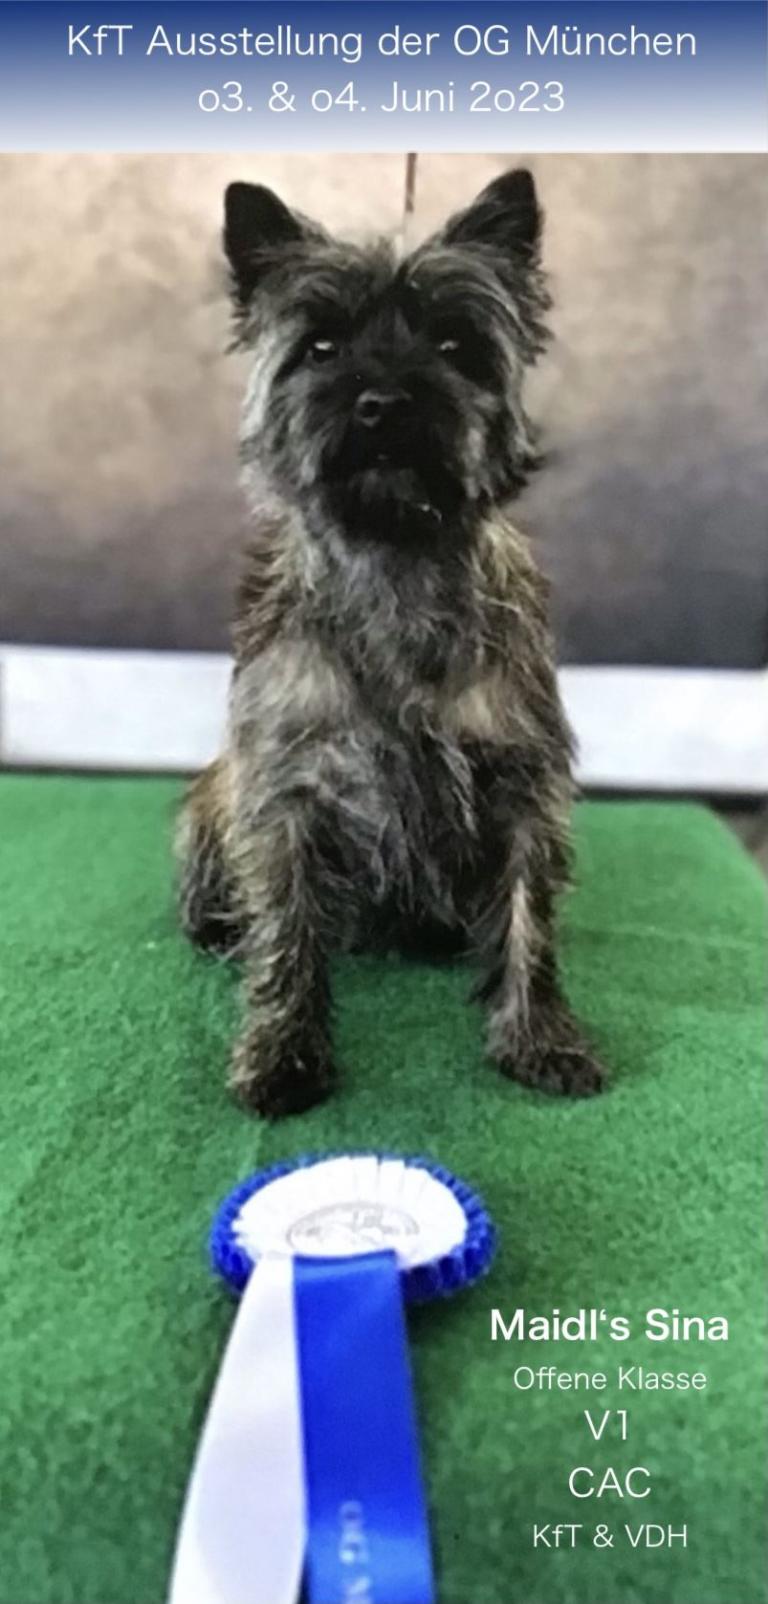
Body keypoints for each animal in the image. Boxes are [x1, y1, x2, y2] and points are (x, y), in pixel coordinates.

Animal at [176, 168, 606, 1117]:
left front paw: (540, 1036)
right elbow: (288, 924)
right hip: (206, 806)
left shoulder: (524, 780)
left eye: (452, 342)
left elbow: (529, 914)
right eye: (322, 346)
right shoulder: (286, 787)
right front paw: (283, 1051)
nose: (382, 402)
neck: (395, 561)